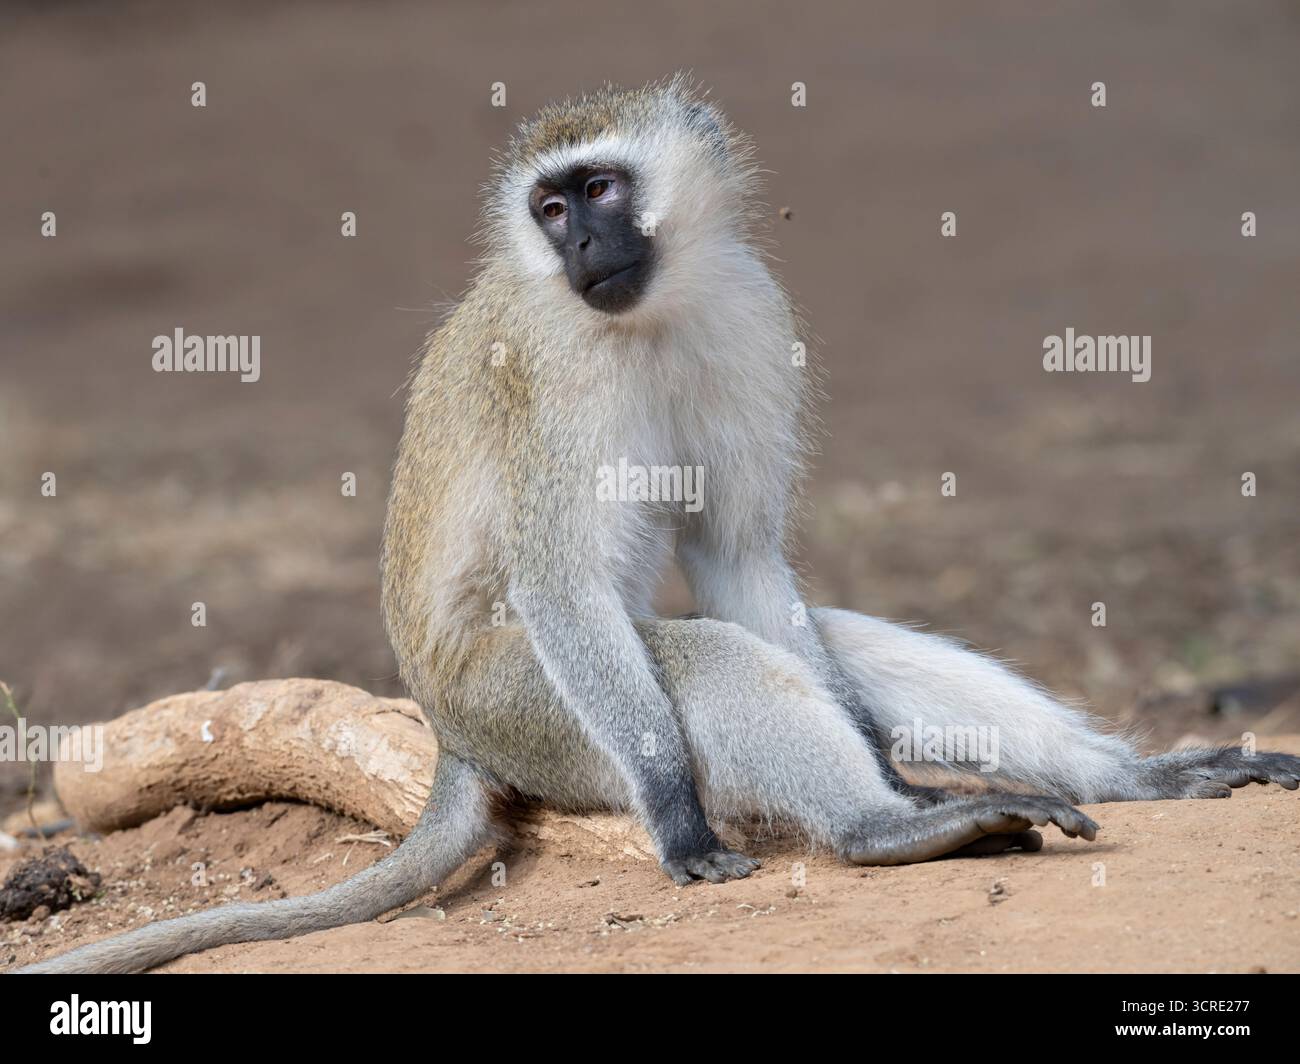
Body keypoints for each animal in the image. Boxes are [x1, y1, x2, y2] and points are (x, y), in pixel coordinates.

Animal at [18, 75, 1298, 974]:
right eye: (548, 207)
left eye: (599, 189)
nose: (582, 242)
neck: (645, 316)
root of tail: (450, 730)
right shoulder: (551, 384)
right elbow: (564, 587)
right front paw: (689, 821)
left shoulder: (750, 313)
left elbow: (739, 556)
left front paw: (904, 764)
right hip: (531, 713)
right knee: (696, 662)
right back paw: (880, 830)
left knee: (828, 638)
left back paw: (1108, 780)